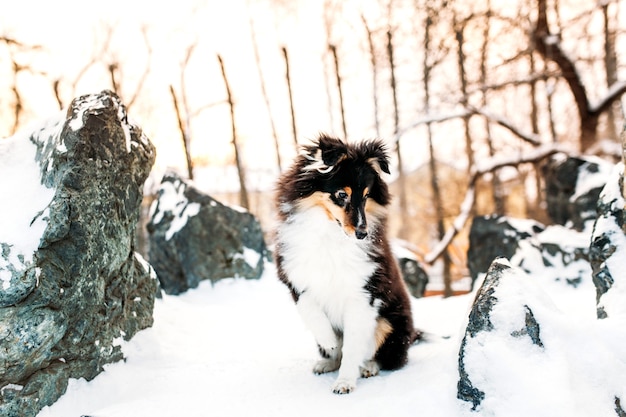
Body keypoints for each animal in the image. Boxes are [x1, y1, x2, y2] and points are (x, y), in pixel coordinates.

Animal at [274, 133, 416, 394]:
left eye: (367, 196)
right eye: (342, 194)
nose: (362, 233)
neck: (330, 234)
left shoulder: (363, 292)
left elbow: (352, 346)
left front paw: (345, 383)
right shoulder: (296, 277)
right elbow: (310, 310)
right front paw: (329, 341)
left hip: (390, 323)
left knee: (383, 354)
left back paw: (368, 367)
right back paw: (327, 361)